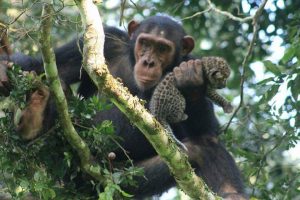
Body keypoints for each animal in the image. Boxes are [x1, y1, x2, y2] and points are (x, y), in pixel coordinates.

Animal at [0, 16, 246, 200]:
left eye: (163, 48)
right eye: (145, 43)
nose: (149, 62)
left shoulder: (192, 61)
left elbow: (208, 132)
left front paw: (190, 79)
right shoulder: (107, 41)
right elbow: (47, 68)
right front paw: (5, 69)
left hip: (122, 180)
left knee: (202, 148)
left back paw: (233, 194)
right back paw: (34, 112)